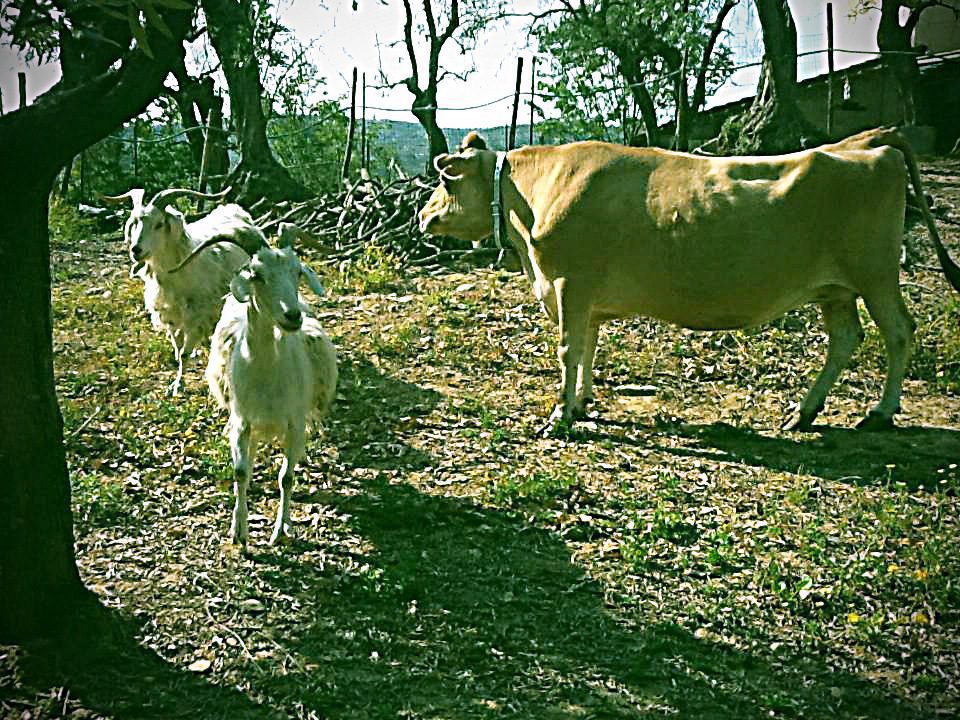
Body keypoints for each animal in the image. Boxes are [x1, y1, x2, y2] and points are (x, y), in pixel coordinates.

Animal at [418, 127, 960, 435]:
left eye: (445, 180)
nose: (422, 216)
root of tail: (866, 143)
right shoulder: (584, 295)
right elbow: (589, 346)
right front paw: (583, 401)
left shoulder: (571, 281)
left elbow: (569, 348)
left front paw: (559, 416)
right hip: (837, 288)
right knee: (846, 338)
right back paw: (803, 413)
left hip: (876, 273)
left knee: (898, 332)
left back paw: (882, 411)